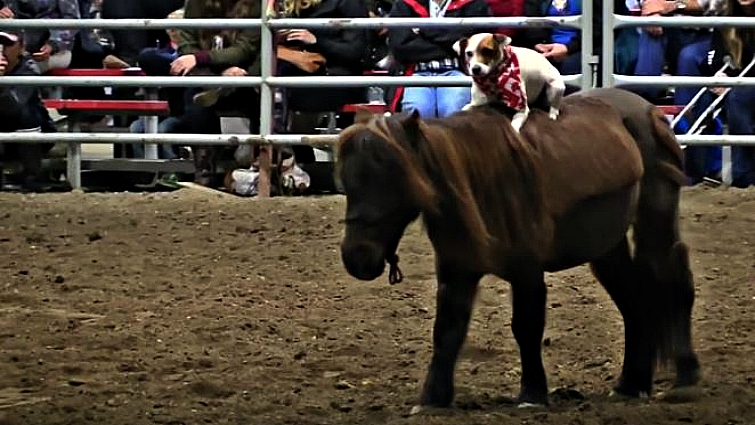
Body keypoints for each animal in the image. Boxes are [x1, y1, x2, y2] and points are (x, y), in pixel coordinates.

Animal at [336, 87, 701, 413]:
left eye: (396, 178)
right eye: (348, 183)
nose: (356, 257)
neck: (475, 183)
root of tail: (649, 110)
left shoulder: (527, 272)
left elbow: (526, 328)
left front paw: (532, 394)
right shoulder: (456, 273)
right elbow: (447, 332)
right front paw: (432, 399)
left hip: (656, 220)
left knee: (674, 277)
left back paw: (685, 377)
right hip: (607, 247)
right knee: (634, 301)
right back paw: (632, 384)